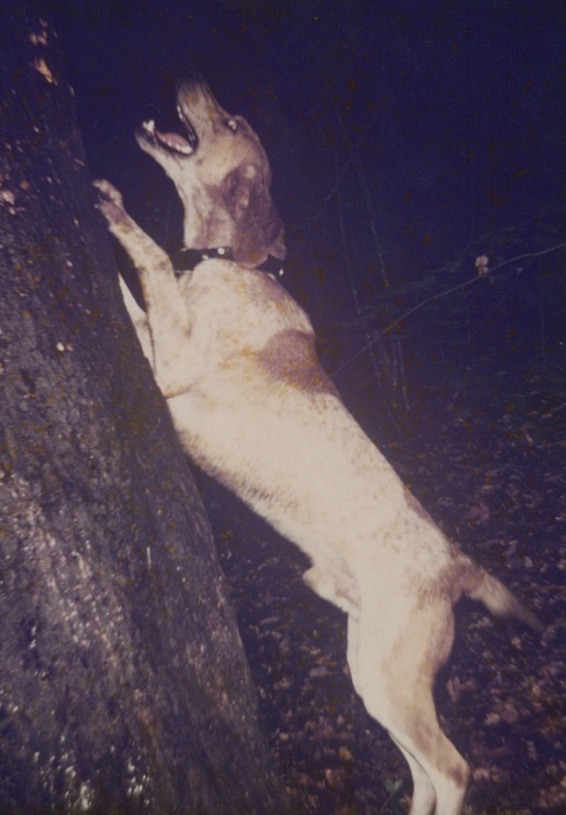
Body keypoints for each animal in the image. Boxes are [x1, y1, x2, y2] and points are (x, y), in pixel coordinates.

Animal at [94, 78, 540, 815]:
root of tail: (456, 565)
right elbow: (135, 296)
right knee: (422, 769)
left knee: (452, 767)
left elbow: (146, 265)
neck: (231, 266)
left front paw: (114, 214)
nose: (193, 81)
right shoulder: (164, 353)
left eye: (232, 121)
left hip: (389, 679)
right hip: (372, 673)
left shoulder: (171, 364)